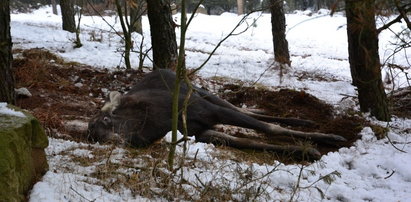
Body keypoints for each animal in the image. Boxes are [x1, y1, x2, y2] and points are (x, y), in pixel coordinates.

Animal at [88, 69, 346, 159]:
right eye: (95, 137)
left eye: (107, 119)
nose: (116, 141)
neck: (156, 124)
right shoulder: (202, 132)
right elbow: (249, 142)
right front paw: (306, 151)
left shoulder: (210, 110)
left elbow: (270, 129)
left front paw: (327, 139)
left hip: (203, 93)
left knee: (238, 107)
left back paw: (300, 119)